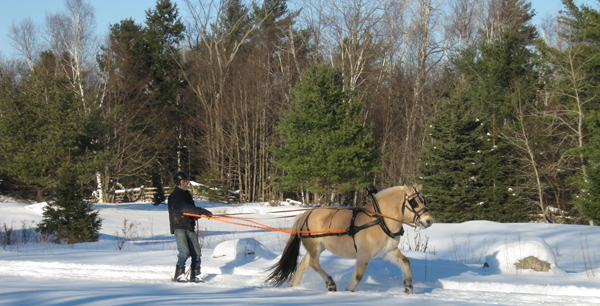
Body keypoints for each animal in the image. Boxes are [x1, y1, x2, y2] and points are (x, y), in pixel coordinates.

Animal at [266, 185, 432, 292]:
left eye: (424, 200)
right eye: (414, 202)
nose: (429, 220)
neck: (380, 221)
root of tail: (304, 214)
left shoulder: (388, 251)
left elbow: (405, 261)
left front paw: (408, 286)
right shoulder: (364, 254)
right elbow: (358, 276)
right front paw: (349, 291)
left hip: (316, 247)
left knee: (304, 265)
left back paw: (293, 287)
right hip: (314, 246)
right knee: (313, 263)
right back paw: (330, 283)